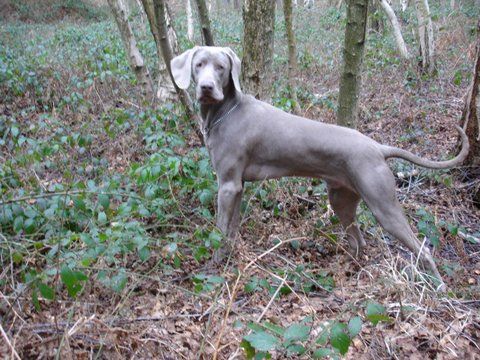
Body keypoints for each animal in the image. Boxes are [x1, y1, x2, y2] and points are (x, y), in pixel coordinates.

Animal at [170, 47, 468, 290]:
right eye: (199, 64)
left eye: (221, 67)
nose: (206, 87)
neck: (224, 112)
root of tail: (377, 147)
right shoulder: (237, 187)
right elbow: (231, 230)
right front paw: (229, 258)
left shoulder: (228, 186)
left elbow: (220, 230)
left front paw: (215, 265)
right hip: (341, 198)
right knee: (358, 240)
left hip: (383, 206)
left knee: (422, 250)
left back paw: (440, 289)